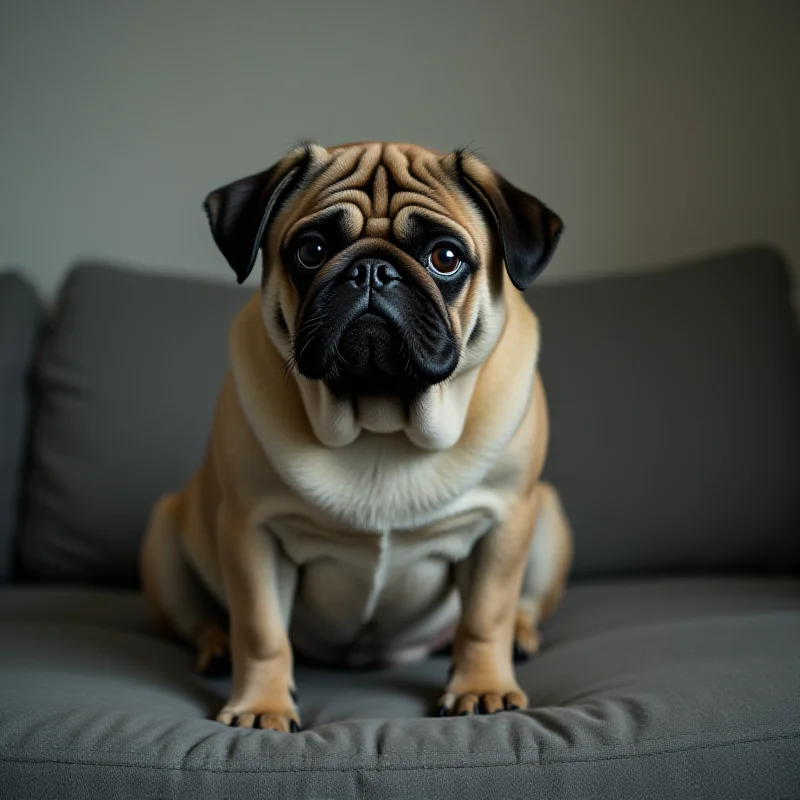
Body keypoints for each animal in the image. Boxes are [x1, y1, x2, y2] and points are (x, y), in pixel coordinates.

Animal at [141, 142, 572, 732]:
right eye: (311, 250)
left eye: (445, 258)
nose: (372, 270)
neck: (380, 422)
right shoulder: (252, 530)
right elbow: (260, 630)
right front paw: (261, 705)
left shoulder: (504, 519)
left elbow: (487, 617)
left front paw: (481, 688)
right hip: (165, 537)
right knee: (198, 621)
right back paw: (217, 647)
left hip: (547, 517)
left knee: (518, 609)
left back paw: (522, 639)